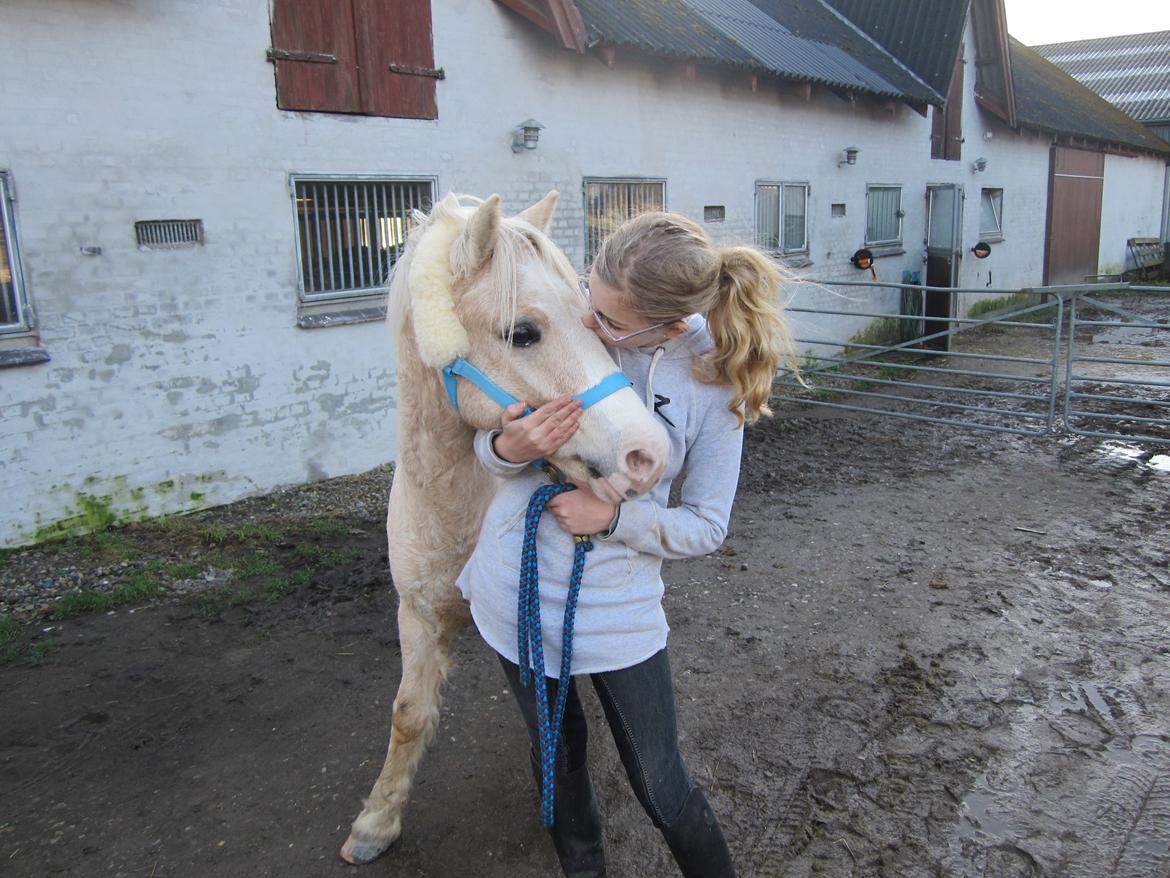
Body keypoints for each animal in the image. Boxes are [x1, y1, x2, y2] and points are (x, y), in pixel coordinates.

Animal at [340, 191, 671, 864]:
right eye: (523, 333)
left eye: (593, 321)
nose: (647, 454)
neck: (452, 506)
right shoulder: (417, 612)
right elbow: (408, 713)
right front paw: (376, 823)